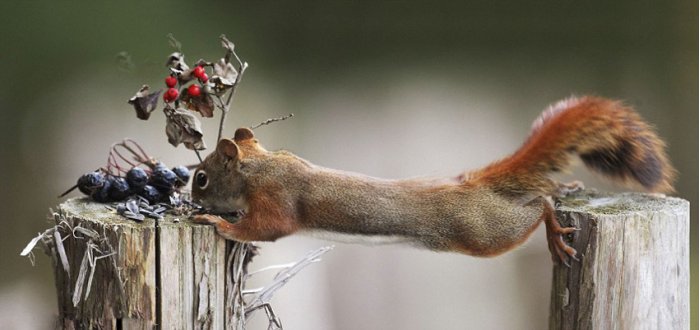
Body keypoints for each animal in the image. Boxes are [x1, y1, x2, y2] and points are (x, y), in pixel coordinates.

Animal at [190, 95, 672, 262]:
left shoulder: (277, 199)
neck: (263, 166)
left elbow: (268, 228)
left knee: (536, 209)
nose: (189, 195)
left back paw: (553, 222)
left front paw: (218, 223)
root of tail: (471, 184)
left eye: (201, 178)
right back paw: (562, 188)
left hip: (482, 233)